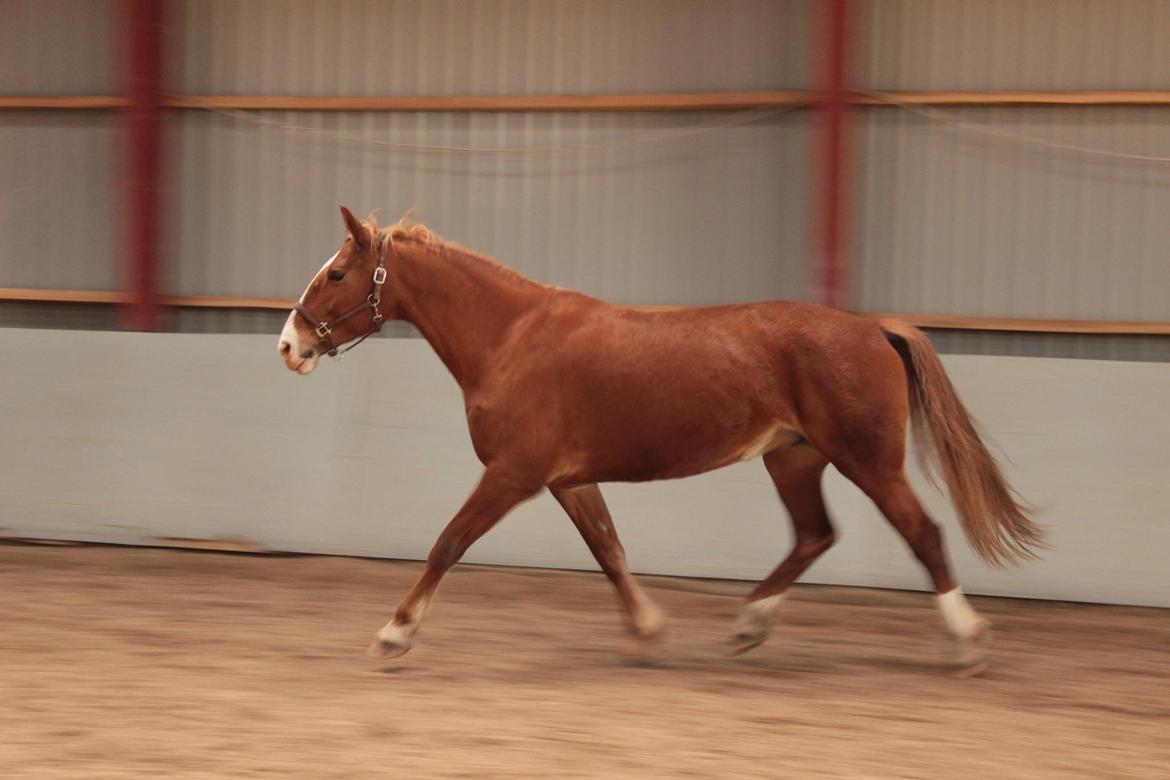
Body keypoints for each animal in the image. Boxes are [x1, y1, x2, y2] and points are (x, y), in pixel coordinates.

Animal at [278, 204, 1038, 668]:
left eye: (337, 273)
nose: (289, 345)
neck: (512, 337)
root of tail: (874, 328)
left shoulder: (513, 475)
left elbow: (448, 542)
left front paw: (394, 634)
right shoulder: (568, 479)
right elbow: (610, 551)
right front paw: (648, 630)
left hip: (869, 461)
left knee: (923, 534)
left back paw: (968, 642)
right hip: (795, 460)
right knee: (814, 536)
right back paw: (749, 624)